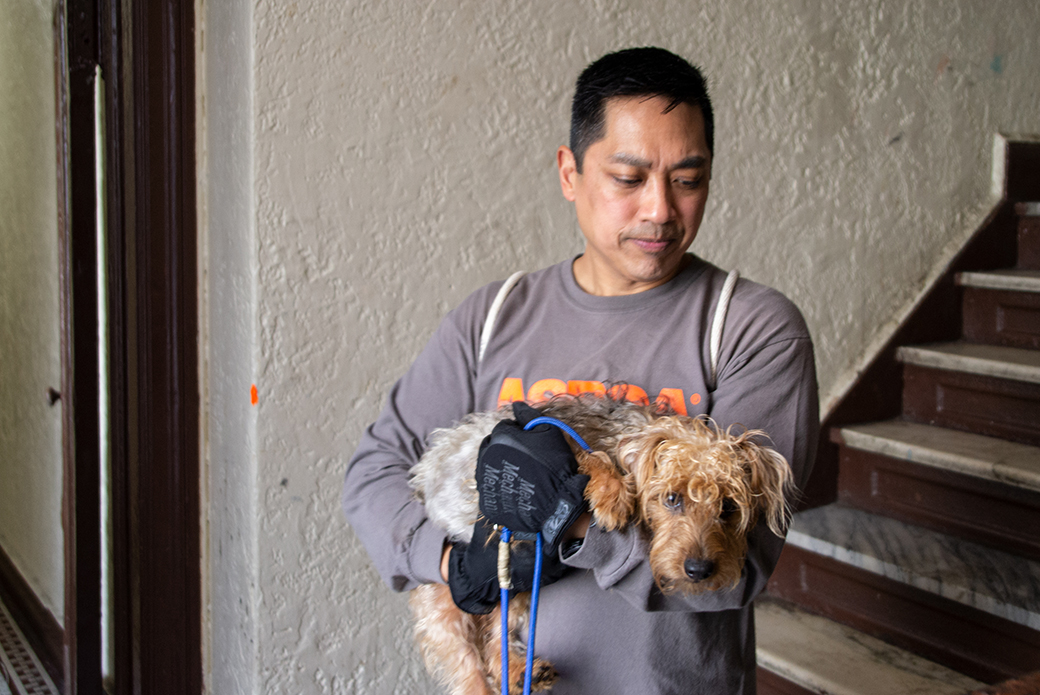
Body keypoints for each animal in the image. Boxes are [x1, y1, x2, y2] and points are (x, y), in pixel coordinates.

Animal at [407, 393, 794, 695]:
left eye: (728, 507)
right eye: (672, 499)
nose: (699, 570)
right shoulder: (557, 438)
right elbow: (587, 457)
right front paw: (613, 494)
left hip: (517, 585)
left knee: (497, 638)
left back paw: (519, 670)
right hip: (445, 613)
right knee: (469, 671)